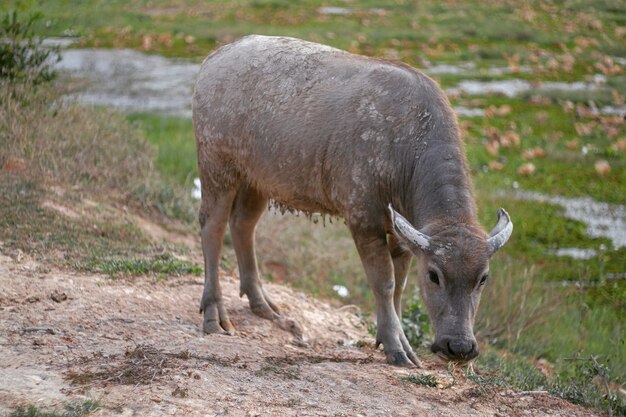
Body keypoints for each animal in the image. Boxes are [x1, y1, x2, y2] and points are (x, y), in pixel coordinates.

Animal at [193, 36, 510, 368]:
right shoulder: (364, 219)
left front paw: (402, 343)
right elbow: (384, 283)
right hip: (217, 166)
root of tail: (216, 57)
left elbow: (399, 286)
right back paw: (214, 313)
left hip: (256, 179)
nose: (459, 347)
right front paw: (395, 347)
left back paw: (262, 304)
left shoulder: (402, 235)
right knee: (212, 227)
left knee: (243, 224)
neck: (404, 149)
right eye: (434, 275)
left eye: (483, 278)